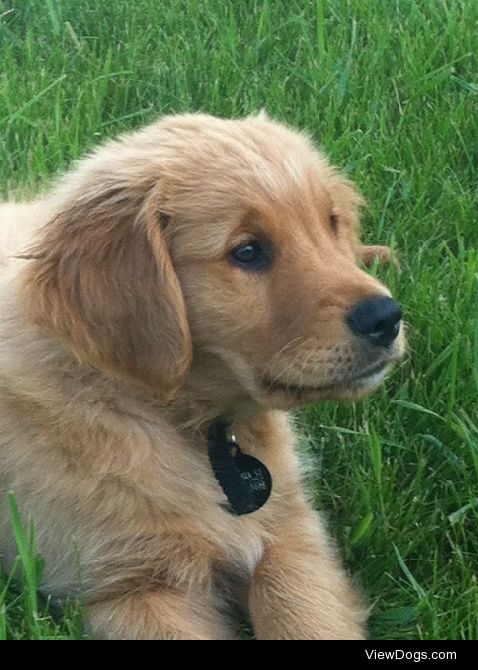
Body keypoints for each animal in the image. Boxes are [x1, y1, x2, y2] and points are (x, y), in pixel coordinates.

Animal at [0, 114, 404, 640]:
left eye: (331, 224)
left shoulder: (292, 537)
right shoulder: (127, 587)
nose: (387, 317)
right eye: (247, 252)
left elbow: (304, 617)